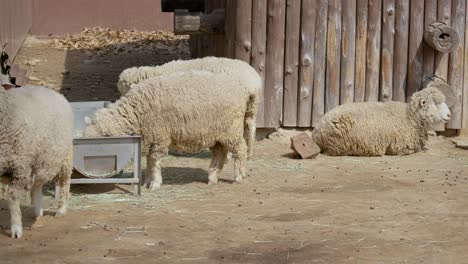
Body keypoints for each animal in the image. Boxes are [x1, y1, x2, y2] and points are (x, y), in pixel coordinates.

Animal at [0, 80, 73, 237]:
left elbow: (13, 198)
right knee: (38, 184)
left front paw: (16, 229)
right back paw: (38, 211)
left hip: (65, 157)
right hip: (40, 159)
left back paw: (61, 210)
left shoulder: (20, 167)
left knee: (64, 182)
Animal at [84, 69, 260, 190]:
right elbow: (149, 161)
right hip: (216, 133)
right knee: (220, 154)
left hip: (231, 130)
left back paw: (238, 176)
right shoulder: (152, 138)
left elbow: (155, 161)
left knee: (241, 150)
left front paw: (154, 183)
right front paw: (147, 181)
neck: (136, 113)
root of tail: (242, 89)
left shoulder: (160, 137)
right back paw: (212, 177)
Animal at [312, 86, 452, 157]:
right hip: (340, 143)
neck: (410, 117)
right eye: (436, 103)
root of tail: (317, 131)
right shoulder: (399, 147)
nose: (450, 115)